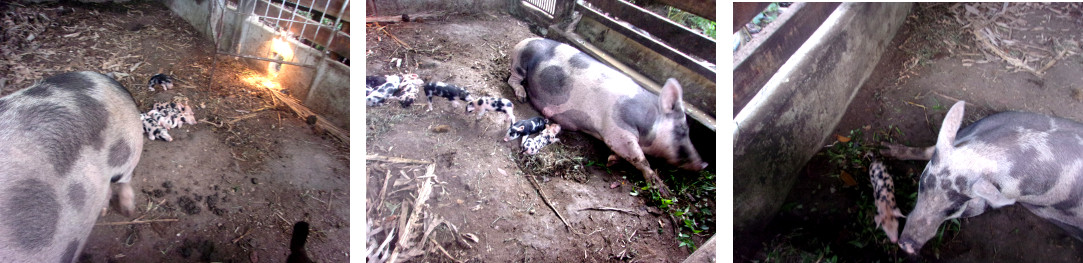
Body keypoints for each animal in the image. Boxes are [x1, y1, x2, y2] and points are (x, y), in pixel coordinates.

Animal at [502, 37, 706, 195]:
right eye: (682, 129)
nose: (703, 164)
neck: (649, 121)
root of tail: (524, 40)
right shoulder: (618, 129)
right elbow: (639, 158)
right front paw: (663, 190)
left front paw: (612, 160)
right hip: (519, 64)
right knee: (513, 79)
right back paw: (521, 97)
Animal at [883, 100, 1083, 254]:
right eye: (921, 186)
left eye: (953, 209)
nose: (906, 245)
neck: (982, 156)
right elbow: (929, 150)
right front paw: (886, 150)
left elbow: (978, 209)